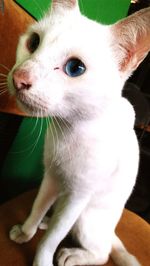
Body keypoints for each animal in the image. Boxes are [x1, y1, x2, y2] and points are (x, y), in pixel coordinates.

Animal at [6, 0, 150, 266]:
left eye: (75, 68)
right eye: (33, 42)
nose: (20, 77)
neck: (67, 129)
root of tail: (110, 230)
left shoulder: (78, 197)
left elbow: (51, 241)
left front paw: (42, 260)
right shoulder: (51, 177)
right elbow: (37, 207)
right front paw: (26, 231)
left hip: (85, 217)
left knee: (102, 252)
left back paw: (72, 255)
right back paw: (45, 223)